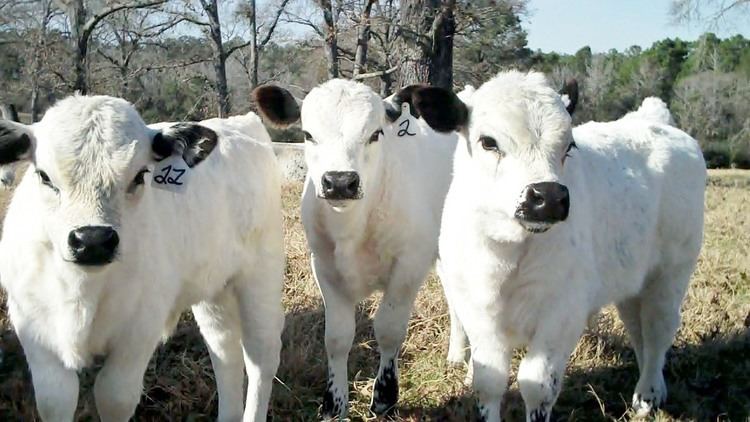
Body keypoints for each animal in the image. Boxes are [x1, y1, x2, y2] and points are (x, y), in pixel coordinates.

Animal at [0, 95, 284, 422]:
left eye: (140, 176)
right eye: (44, 176)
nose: (92, 240)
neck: (83, 289)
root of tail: (241, 121)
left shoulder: (139, 330)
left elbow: (114, 396)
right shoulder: (33, 329)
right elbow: (55, 399)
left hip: (261, 276)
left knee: (260, 355)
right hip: (213, 288)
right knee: (225, 350)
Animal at [256, 80, 462, 418]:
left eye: (375, 133)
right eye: (308, 134)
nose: (340, 182)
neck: (352, 229)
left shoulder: (409, 266)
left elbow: (389, 330)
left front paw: (385, 397)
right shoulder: (324, 266)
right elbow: (337, 337)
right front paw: (334, 404)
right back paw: (458, 357)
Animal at [402, 71, 708, 420]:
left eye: (569, 146)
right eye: (488, 141)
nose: (547, 197)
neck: (507, 256)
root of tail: (653, 119)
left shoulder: (562, 314)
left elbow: (537, 385)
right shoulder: (477, 311)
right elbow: (489, 381)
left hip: (671, 271)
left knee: (658, 330)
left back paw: (648, 395)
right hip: (633, 281)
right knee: (638, 328)